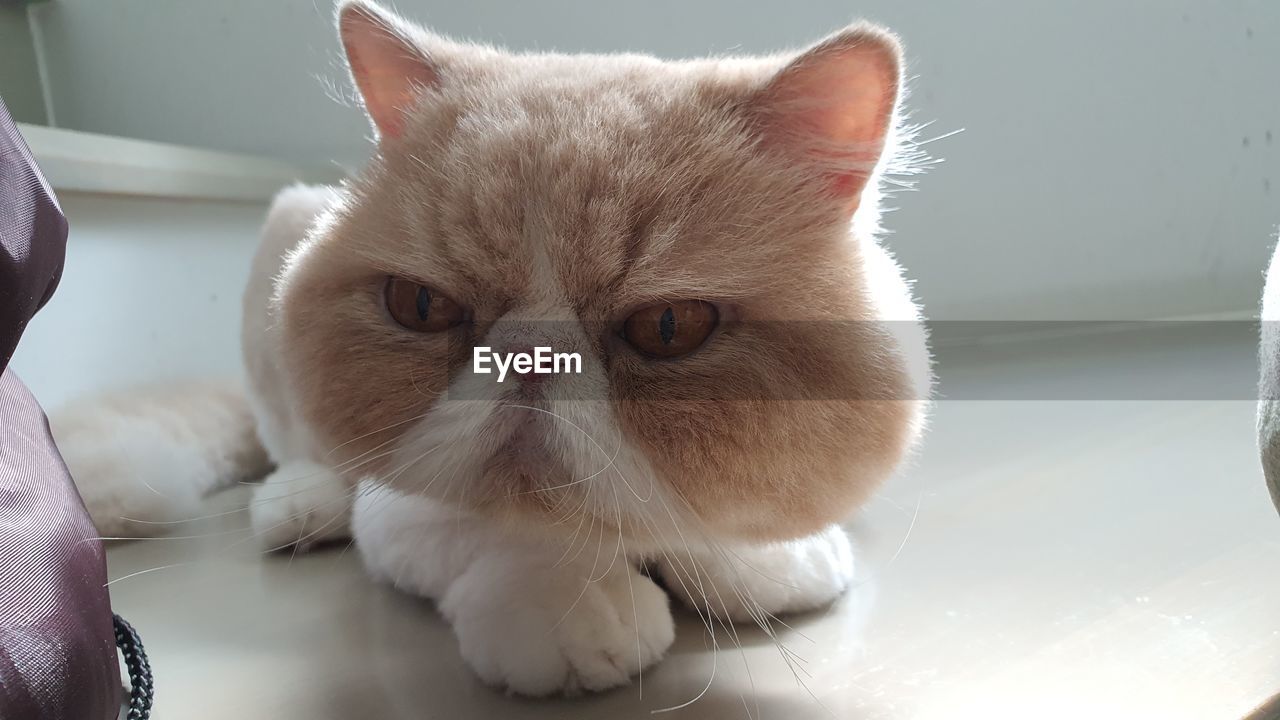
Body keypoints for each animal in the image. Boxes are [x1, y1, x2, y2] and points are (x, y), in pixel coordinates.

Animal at [55, 0, 931, 696]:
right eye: (422, 307)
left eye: (670, 326)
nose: (529, 359)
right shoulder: (404, 502)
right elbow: (495, 534)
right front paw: (565, 603)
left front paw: (754, 556)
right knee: (294, 446)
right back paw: (302, 504)